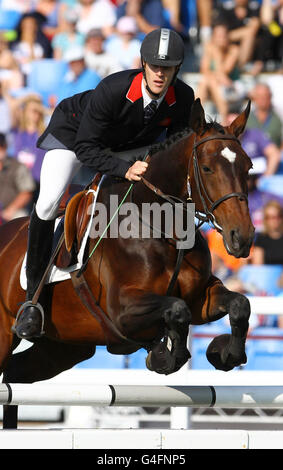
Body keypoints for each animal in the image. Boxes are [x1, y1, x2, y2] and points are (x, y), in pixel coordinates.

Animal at [0, 99, 254, 426]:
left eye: (248, 166)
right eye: (208, 168)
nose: (242, 237)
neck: (164, 228)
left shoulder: (201, 299)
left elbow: (238, 304)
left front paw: (224, 354)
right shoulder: (123, 310)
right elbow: (177, 310)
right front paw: (164, 356)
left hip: (64, 347)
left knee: (15, 374)